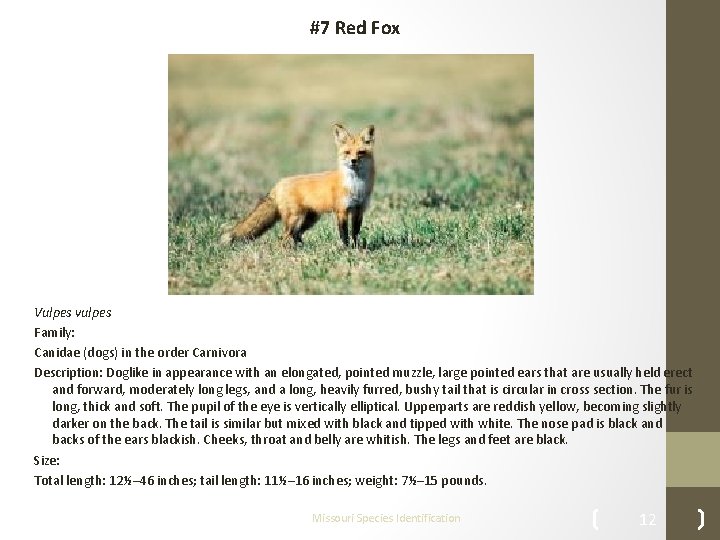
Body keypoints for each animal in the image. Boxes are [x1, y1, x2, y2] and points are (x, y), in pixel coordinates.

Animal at [220, 123, 375, 247]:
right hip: (295, 219)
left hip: (309, 219)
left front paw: (356, 249)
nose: (353, 161)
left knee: (296, 235)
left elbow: (355, 234)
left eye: (361, 152)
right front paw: (345, 249)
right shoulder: (341, 211)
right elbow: (344, 235)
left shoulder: (358, 210)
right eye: (347, 152)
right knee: (284, 237)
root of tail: (279, 183)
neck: (356, 186)